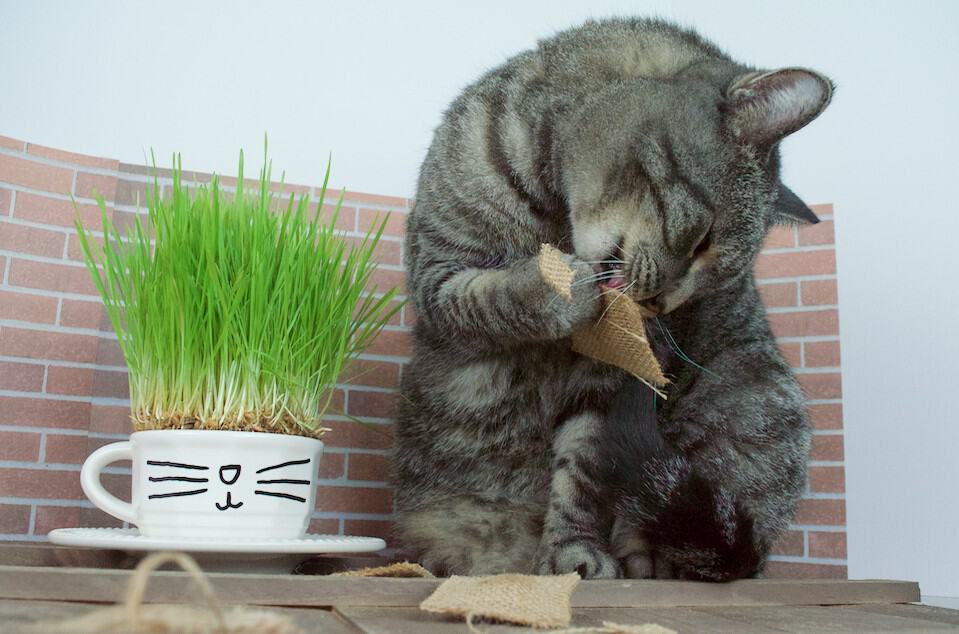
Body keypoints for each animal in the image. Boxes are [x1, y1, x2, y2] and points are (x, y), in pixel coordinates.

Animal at [390, 16, 832, 576]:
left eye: (715, 284)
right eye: (701, 240)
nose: (661, 305)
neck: (555, 220)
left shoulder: (611, 383)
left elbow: (583, 473)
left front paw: (573, 553)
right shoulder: (437, 276)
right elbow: (492, 299)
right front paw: (558, 286)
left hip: (749, 397)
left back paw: (643, 563)